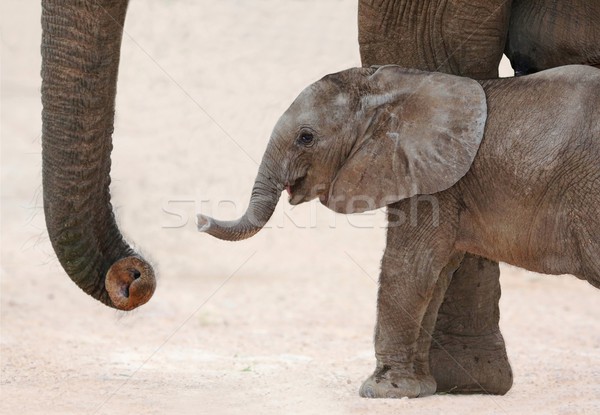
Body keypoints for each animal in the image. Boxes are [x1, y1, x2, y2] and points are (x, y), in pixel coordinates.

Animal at [198, 65, 600, 400]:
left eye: (306, 138)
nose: (200, 218)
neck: (393, 86)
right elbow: (434, 277)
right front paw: (418, 390)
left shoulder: (432, 180)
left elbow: (409, 267)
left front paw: (381, 392)